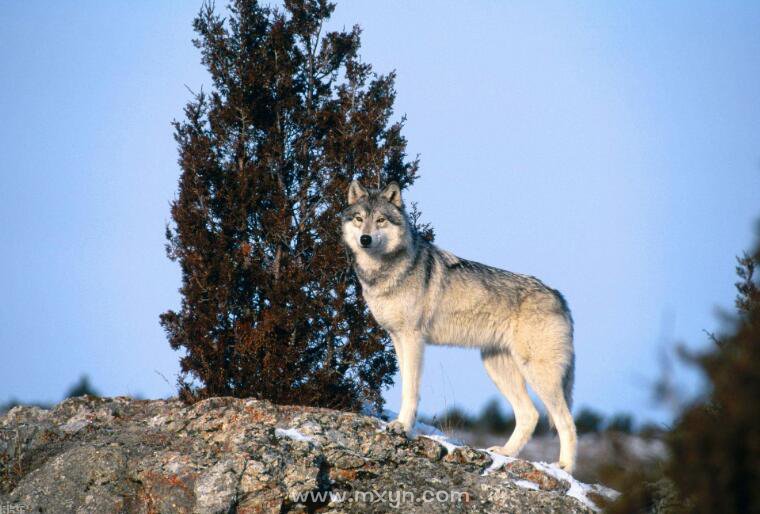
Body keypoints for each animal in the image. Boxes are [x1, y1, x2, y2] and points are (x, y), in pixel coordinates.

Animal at [342, 178, 580, 470]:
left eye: (381, 220)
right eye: (359, 219)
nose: (365, 239)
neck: (385, 272)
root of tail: (559, 295)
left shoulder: (413, 339)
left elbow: (411, 390)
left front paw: (402, 427)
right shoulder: (397, 338)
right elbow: (406, 385)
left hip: (537, 374)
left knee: (566, 421)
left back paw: (565, 468)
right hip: (496, 367)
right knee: (530, 415)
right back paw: (505, 452)